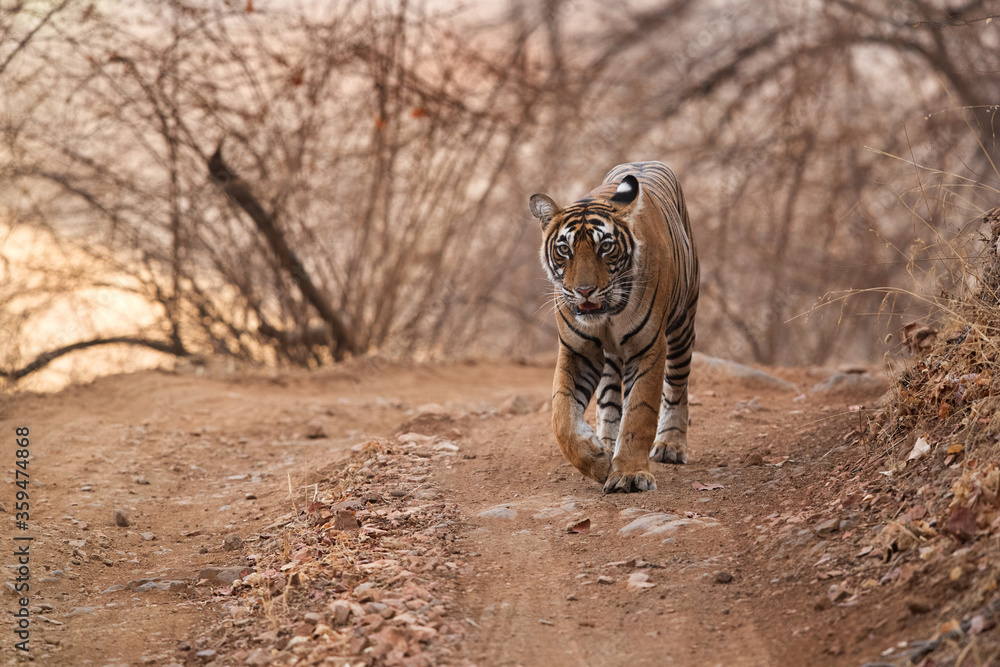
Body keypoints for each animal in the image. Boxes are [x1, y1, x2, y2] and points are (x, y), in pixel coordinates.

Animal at [529, 161, 700, 493]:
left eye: (605, 247)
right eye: (564, 250)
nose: (584, 291)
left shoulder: (648, 347)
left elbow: (639, 413)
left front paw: (630, 474)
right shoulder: (578, 351)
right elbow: (562, 417)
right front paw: (596, 460)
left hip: (682, 327)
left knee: (677, 387)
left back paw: (671, 445)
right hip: (608, 357)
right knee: (608, 399)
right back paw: (607, 445)